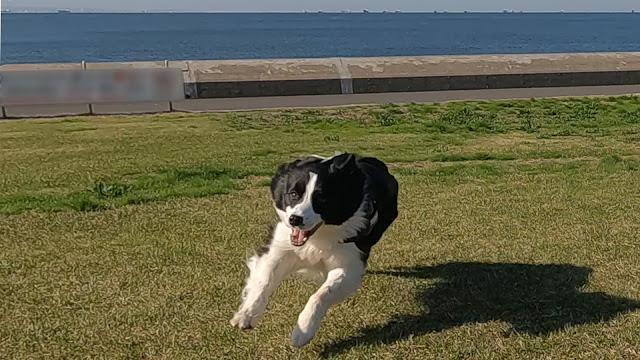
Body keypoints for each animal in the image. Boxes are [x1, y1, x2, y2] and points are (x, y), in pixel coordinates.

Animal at [230, 153, 400, 348]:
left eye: (321, 199)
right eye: (293, 194)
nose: (295, 219)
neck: (317, 237)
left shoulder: (350, 265)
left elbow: (321, 294)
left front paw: (303, 330)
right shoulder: (278, 248)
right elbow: (264, 281)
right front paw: (247, 314)